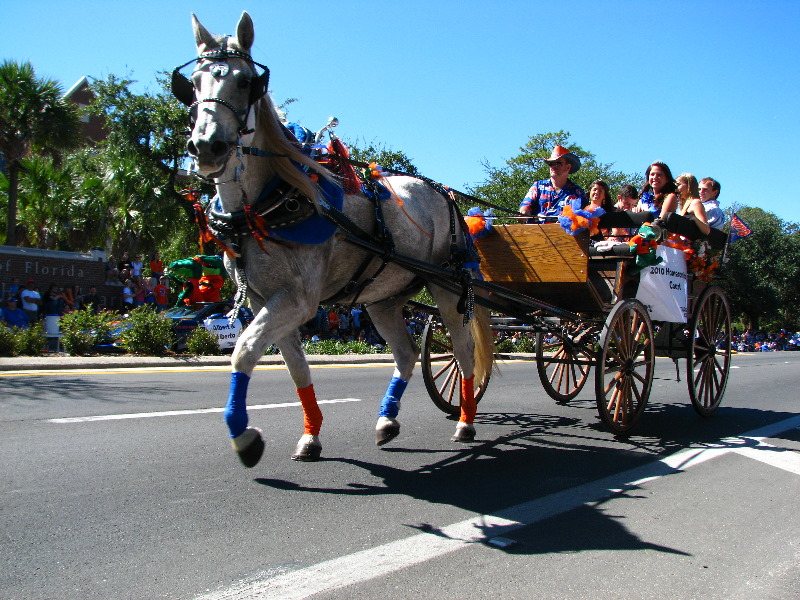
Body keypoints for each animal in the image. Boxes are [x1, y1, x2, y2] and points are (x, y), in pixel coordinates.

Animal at [175, 11, 494, 466]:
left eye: (246, 81)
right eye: (193, 82)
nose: (208, 145)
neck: (269, 204)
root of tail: (443, 193)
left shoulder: (297, 300)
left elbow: (244, 350)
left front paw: (244, 435)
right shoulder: (265, 299)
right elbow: (296, 368)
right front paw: (310, 435)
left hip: (448, 288)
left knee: (464, 354)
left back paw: (465, 421)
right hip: (383, 299)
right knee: (406, 354)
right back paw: (387, 420)